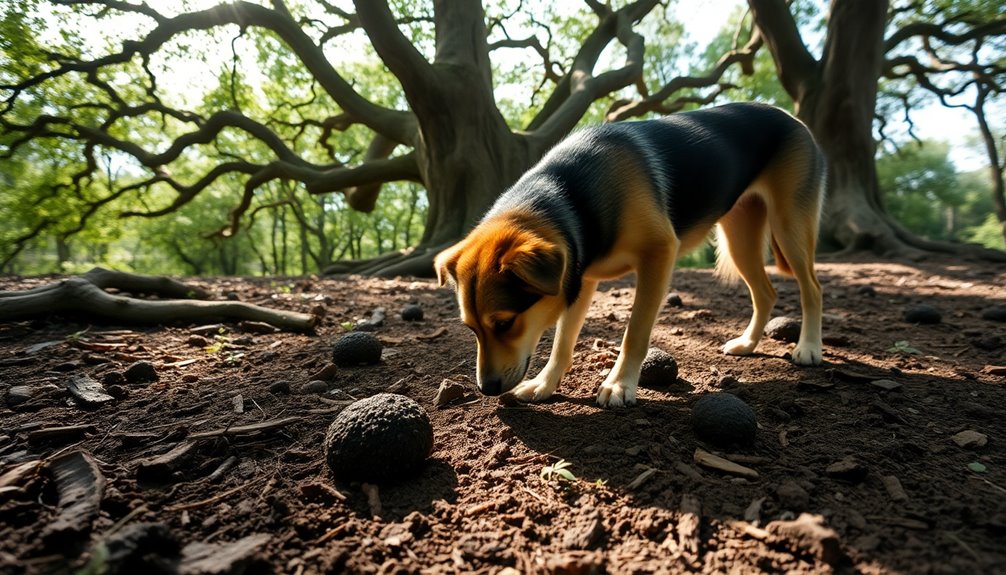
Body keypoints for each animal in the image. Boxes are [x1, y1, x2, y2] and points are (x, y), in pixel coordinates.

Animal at [432, 103, 824, 408]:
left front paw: (619, 384)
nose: (486, 389)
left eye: (504, 323)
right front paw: (545, 384)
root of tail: (790, 116)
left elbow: (633, 333)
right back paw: (748, 343)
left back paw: (808, 347)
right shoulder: (579, 279)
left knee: (813, 288)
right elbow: (562, 341)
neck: (567, 197)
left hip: (789, 226)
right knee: (766, 293)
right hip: (739, 238)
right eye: (471, 328)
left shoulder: (659, 255)